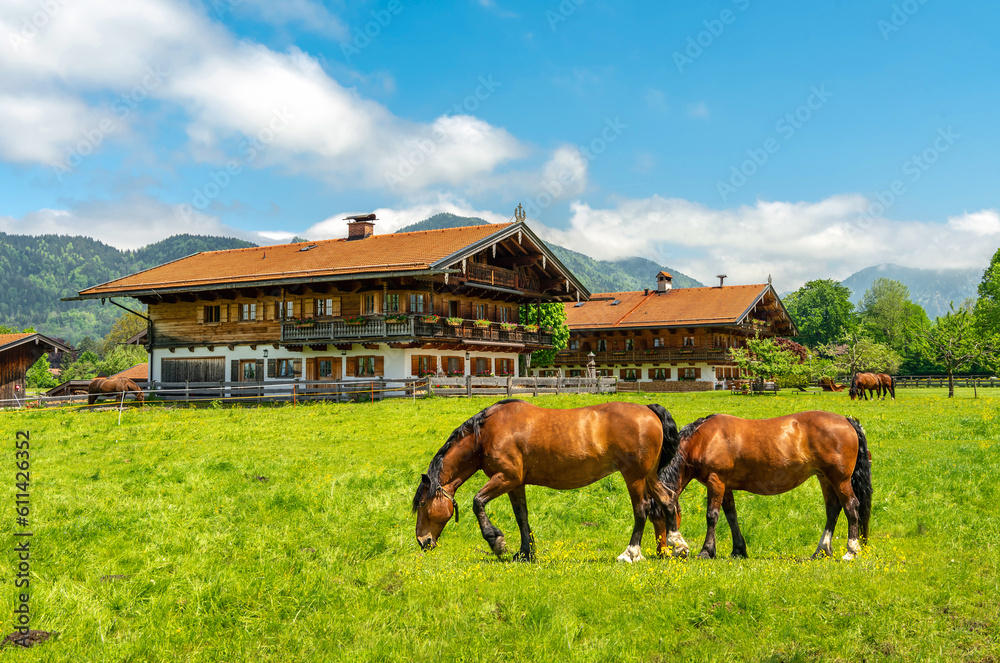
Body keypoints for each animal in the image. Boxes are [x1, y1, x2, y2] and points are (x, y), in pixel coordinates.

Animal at [410, 400, 684, 564]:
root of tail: (648, 410)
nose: (423, 542)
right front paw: (524, 552)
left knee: (641, 510)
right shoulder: (515, 484)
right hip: (649, 475)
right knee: (668, 500)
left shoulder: (506, 477)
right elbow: (522, 517)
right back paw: (677, 545)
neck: (486, 434)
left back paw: (631, 553)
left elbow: (478, 502)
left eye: (422, 504)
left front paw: (496, 542)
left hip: (634, 476)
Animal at [652, 416, 872, 560]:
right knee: (833, 510)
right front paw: (738, 550)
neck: (704, 439)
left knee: (851, 507)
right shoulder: (726, 486)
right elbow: (731, 516)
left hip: (840, 479)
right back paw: (822, 550)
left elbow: (712, 516)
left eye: (664, 516)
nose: (662, 552)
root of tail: (847, 421)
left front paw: (706, 551)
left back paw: (851, 551)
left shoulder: (716, 481)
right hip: (825, 478)